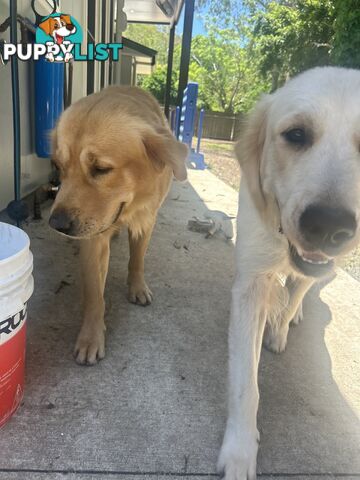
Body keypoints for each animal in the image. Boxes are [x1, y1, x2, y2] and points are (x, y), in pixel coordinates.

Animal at [49, 86, 188, 364]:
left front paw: (137, 287)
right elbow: (94, 295)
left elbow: (137, 259)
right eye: (58, 166)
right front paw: (91, 337)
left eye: (101, 169)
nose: (56, 224)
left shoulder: (146, 219)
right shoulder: (94, 237)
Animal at [217, 67, 360, 480]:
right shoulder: (250, 284)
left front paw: (279, 330)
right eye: (296, 135)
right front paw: (240, 451)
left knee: (301, 289)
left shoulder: (313, 269)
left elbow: (297, 290)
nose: (328, 226)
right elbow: (245, 385)